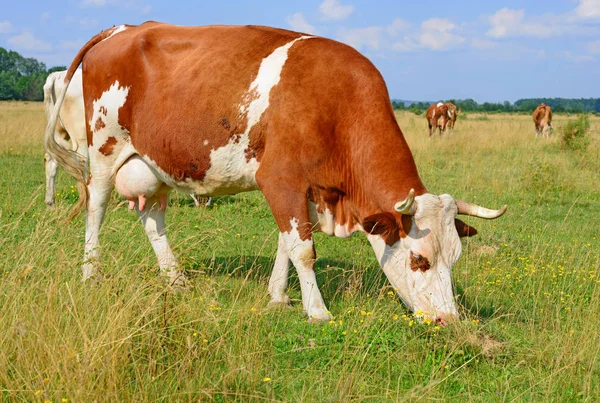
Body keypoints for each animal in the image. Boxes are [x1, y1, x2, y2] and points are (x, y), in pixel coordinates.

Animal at [42, 69, 87, 207]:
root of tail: (58, 75)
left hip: (58, 130)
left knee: (51, 159)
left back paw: (50, 203)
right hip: (81, 135)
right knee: (81, 161)